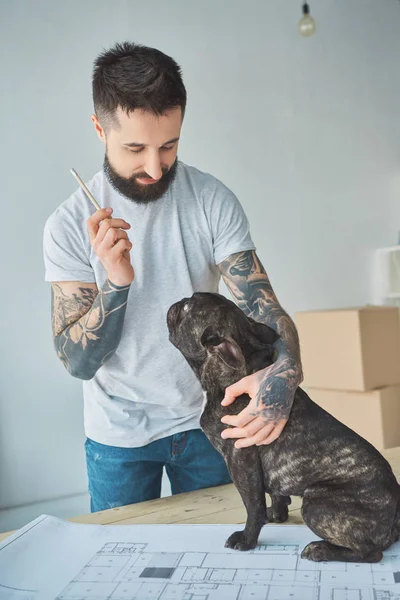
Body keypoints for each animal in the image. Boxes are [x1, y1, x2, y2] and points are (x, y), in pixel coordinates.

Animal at [167, 290, 400, 564]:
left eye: (188, 307)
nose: (178, 301)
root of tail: (396, 514)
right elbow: (274, 493)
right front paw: (277, 515)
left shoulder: (240, 456)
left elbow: (252, 503)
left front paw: (247, 539)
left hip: (315, 502)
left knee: (370, 552)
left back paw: (320, 550)